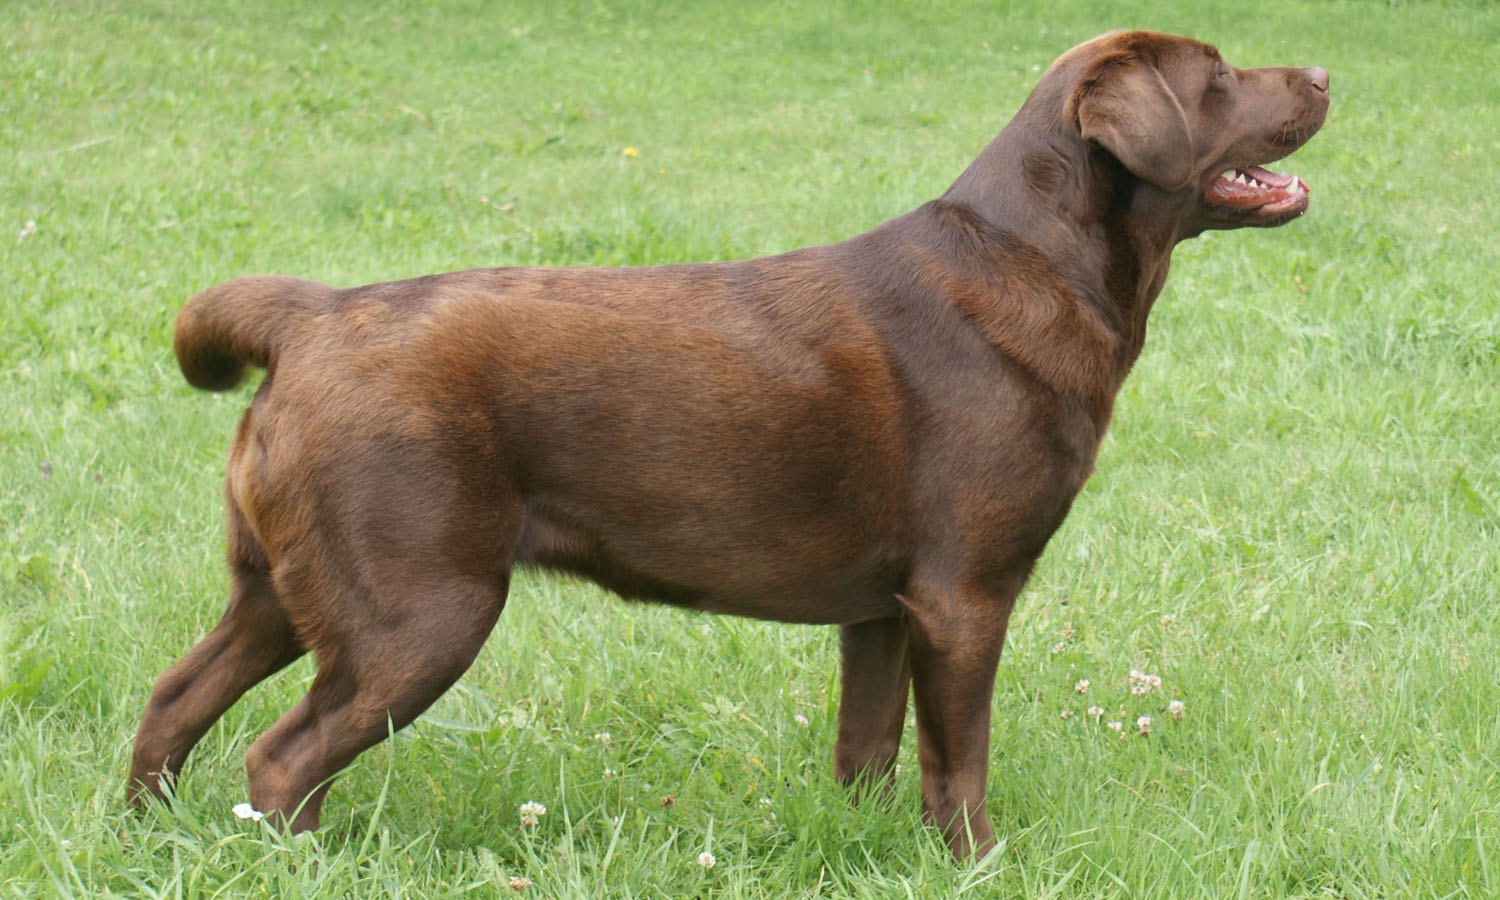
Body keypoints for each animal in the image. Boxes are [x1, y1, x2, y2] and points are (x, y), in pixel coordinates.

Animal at [128, 30, 1328, 857]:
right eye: (1220, 75)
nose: (1321, 71)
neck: (1038, 260)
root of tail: (313, 315)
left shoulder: (882, 611)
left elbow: (868, 751)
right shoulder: (964, 596)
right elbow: (960, 767)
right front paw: (980, 865)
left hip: (287, 589)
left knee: (174, 701)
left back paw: (147, 838)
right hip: (418, 609)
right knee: (280, 759)